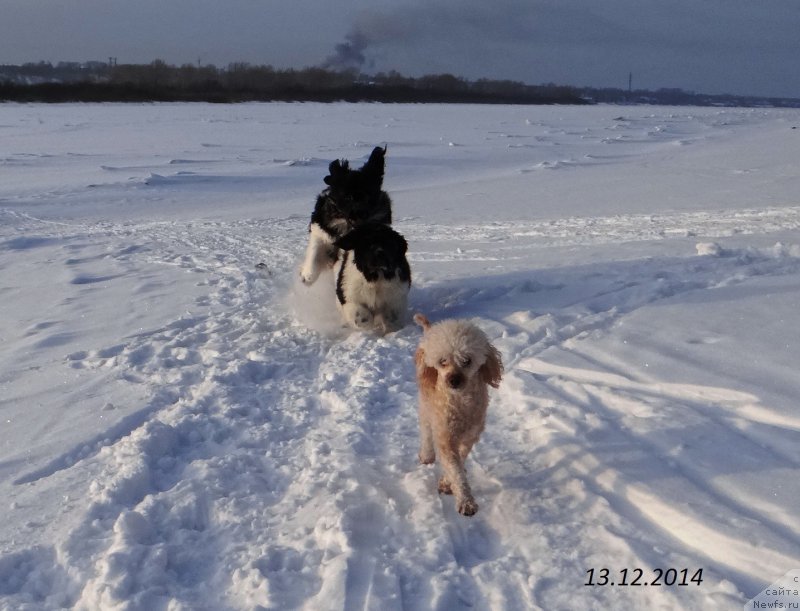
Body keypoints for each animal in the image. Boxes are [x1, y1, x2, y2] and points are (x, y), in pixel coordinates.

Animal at [300, 145, 390, 284]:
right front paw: (308, 275)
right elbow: (315, 248)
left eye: (368, 195)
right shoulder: (320, 227)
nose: (360, 214)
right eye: (347, 197)